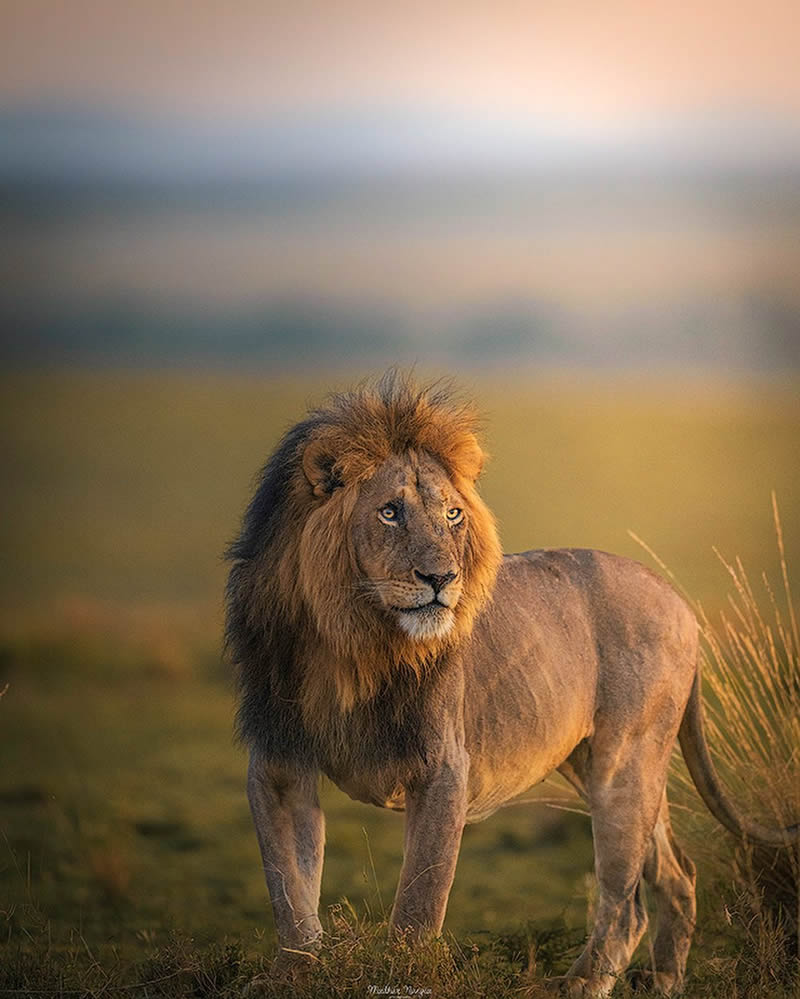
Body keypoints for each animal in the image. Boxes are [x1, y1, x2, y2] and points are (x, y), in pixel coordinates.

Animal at [227, 374, 800, 992]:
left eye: (453, 515)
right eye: (389, 512)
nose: (442, 578)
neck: (352, 643)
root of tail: (680, 601)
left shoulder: (442, 767)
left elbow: (418, 904)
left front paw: (405, 975)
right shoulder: (279, 763)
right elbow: (289, 892)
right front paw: (293, 976)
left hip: (627, 761)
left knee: (626, 905)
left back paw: (578, 985)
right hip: (601, 763)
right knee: (679, 875)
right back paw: (666, 983)